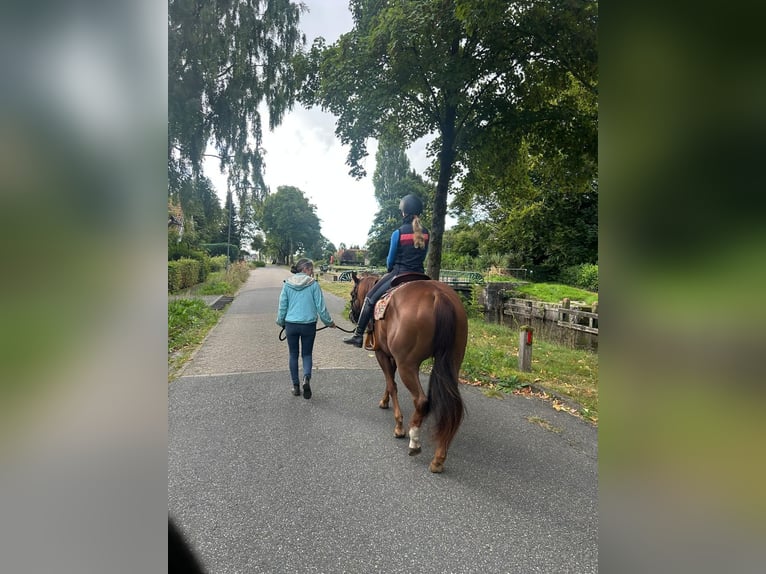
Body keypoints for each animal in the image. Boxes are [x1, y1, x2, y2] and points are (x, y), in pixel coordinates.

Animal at [348, 271, 468, 473]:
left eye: (352, 294)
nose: (352, 316)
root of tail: (438, 295)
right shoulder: (392, 356)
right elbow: (390, 381)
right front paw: (384, 401)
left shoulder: (382, 353)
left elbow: (391, 384)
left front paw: (398, 426)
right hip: (452, 362)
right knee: (452, 407)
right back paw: (439, 458)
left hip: (408, 364)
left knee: (421, 400)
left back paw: (414, 441)